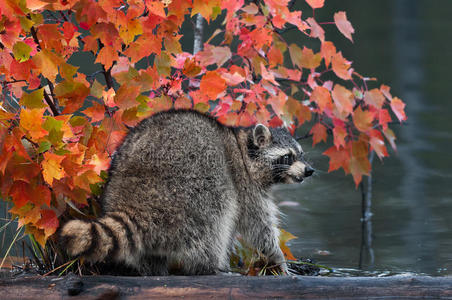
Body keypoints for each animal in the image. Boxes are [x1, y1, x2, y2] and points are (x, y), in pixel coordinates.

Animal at [59, 109, 314, 274]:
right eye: (288, 157)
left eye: (301, 154)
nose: (309, 170)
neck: (243, 148)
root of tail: (135, 203)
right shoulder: (245, 186)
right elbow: (259, 227)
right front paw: (278, 258)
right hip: (193, 187)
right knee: (215, 218)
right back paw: (211, 266)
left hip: (118, 179)